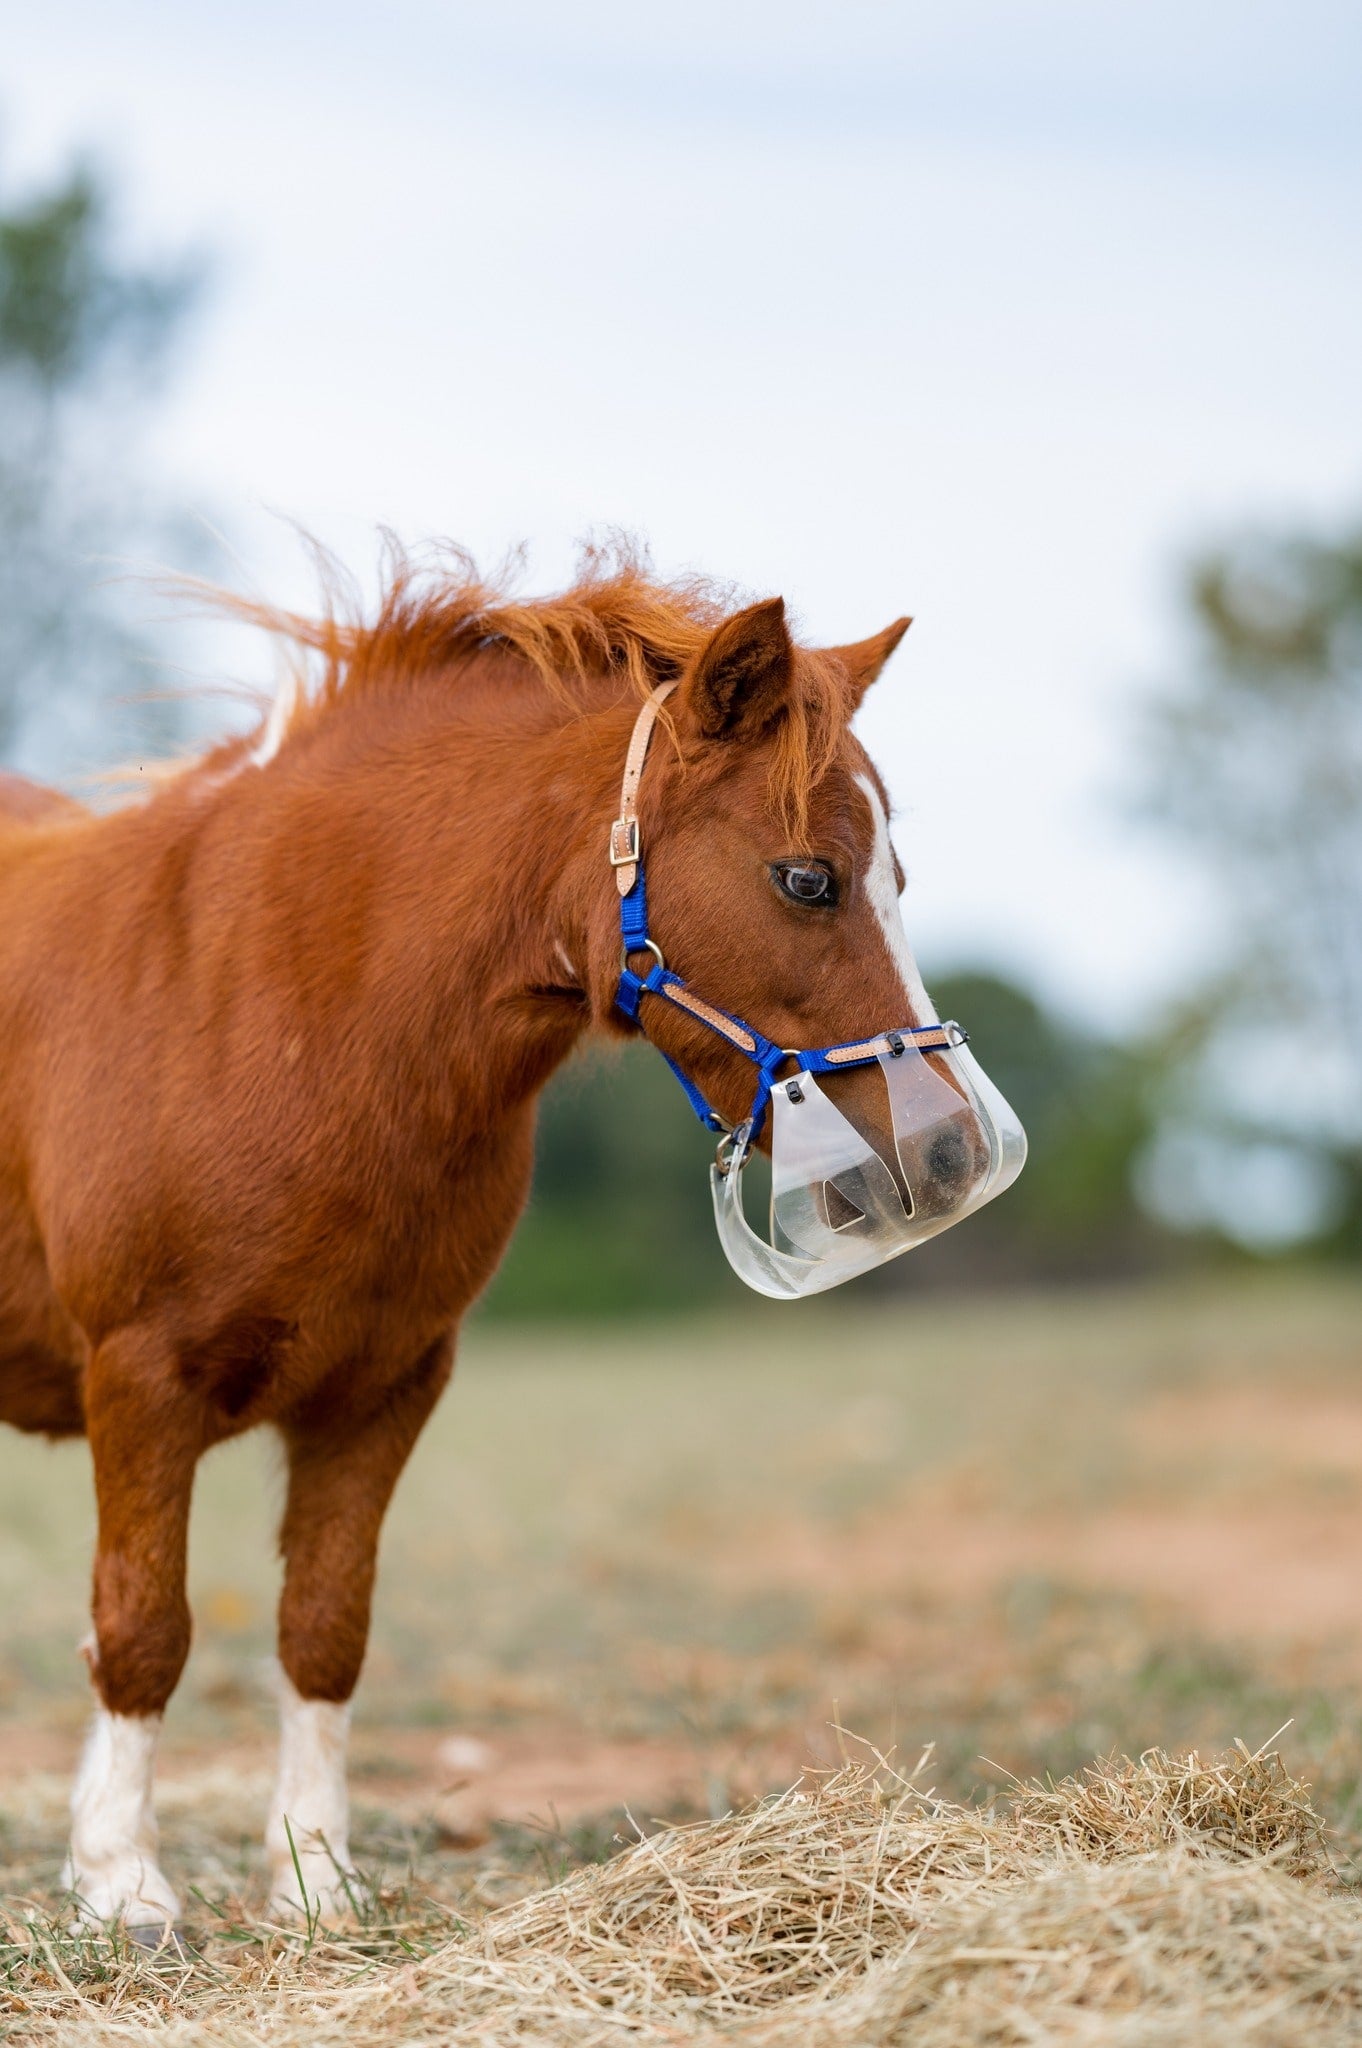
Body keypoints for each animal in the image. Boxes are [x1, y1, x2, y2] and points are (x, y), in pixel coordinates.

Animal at [0, 544, 925, 1916]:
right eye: (808, 877)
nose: (948, 1146)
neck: (275, 990)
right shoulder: (141, 1381)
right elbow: (143, 1626)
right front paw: (124, 1886)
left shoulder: (382, 1387)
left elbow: (325, 1628)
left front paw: (316, 1879)